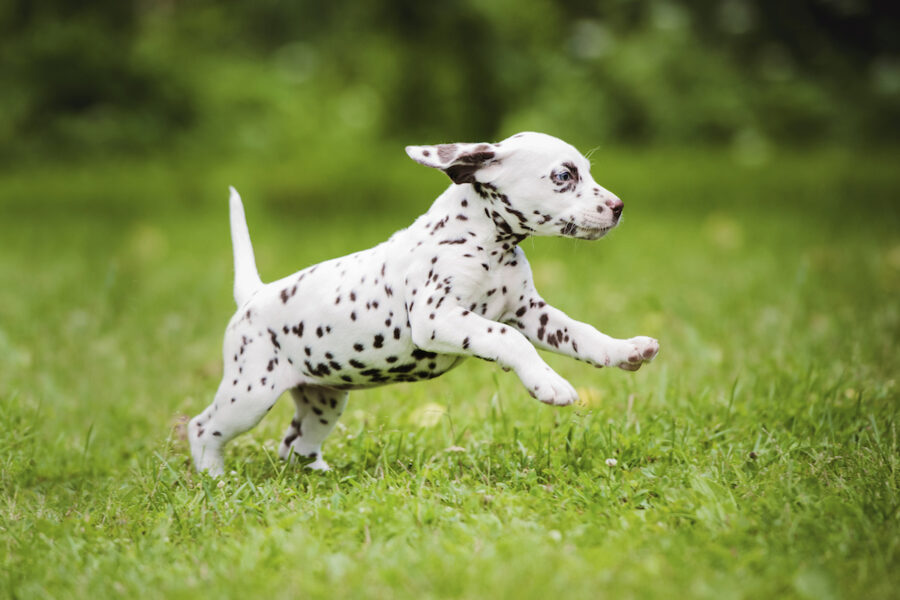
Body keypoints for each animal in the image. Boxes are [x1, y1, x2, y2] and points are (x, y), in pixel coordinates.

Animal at [186, 132, 656, 478]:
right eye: (563, 176)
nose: (618, 207)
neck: (486, 241)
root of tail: (254, 294)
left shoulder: (531, 313)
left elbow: (581, 333)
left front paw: (625, 350)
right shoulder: (438, 318)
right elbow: (506, 338)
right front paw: (549, 384)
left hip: (323, 400)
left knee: (295, 443)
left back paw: (316, 474)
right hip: (250, 393)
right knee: (202, 427)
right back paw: (213, 478)